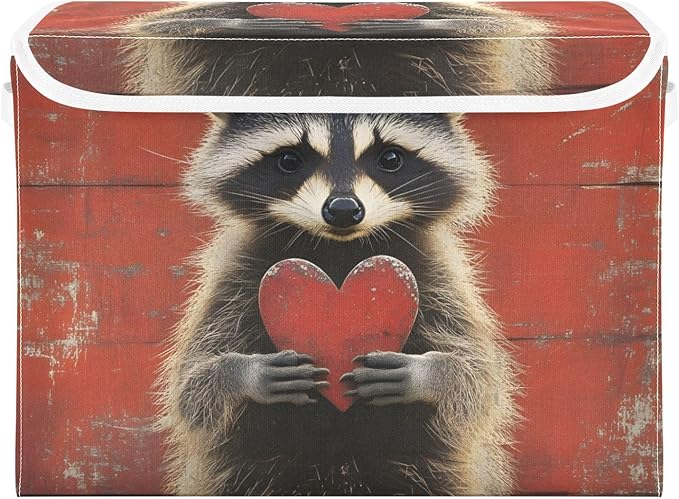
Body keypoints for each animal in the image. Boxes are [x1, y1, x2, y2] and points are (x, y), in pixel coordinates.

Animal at [120, 2, 556, 495]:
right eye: (290, 160)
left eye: (390, 159)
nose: (344, 210)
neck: (337, 250)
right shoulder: (238, 273)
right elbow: (192, 386)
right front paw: (242, 372)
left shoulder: (436, 272)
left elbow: (479, 380)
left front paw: (430, 372)